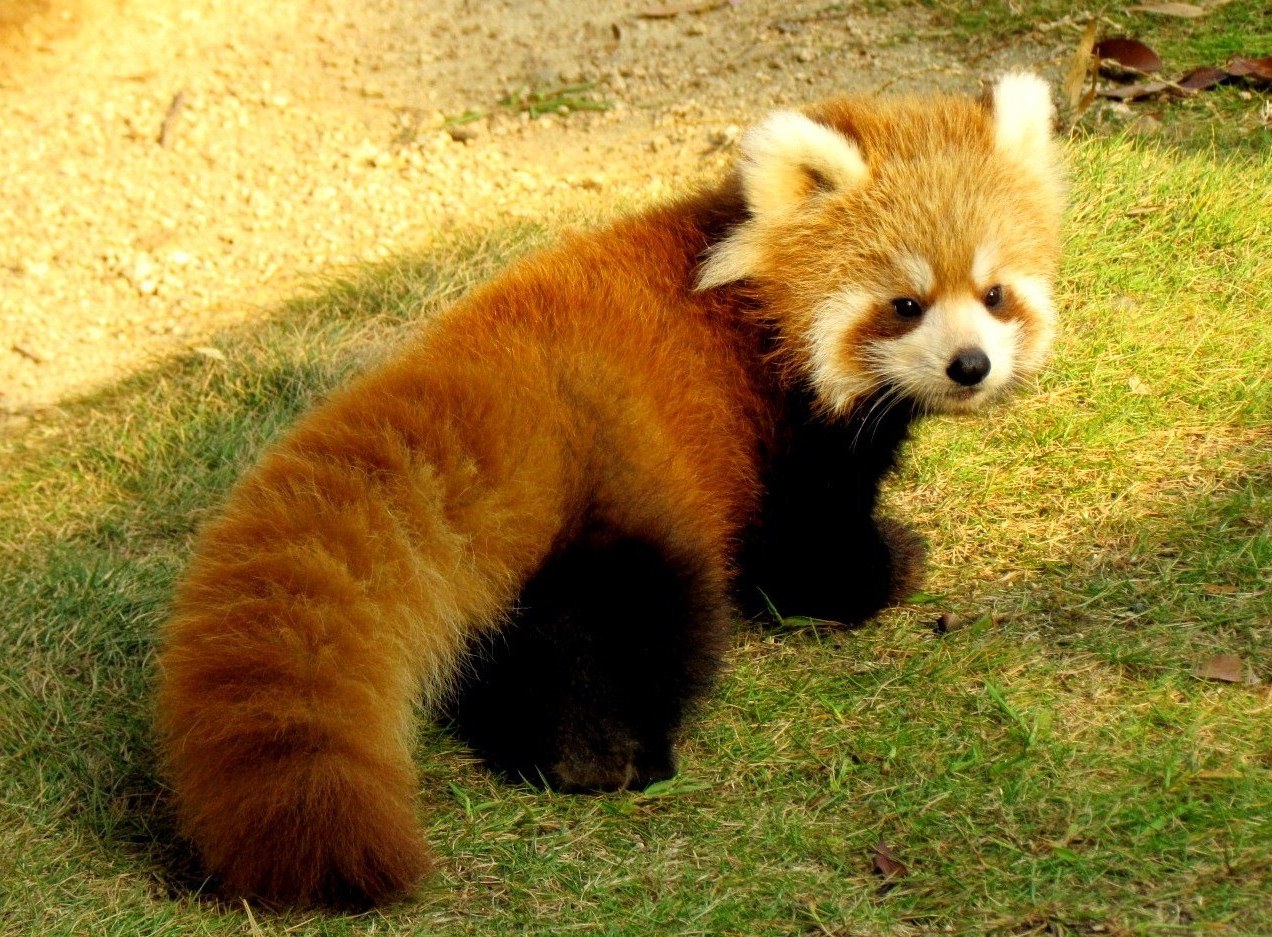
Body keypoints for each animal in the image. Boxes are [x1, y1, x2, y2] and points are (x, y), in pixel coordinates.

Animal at [153, 73, 1068, 905]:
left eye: (994, 293)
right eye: (906, 304)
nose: (971, 366)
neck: (755, 306)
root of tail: (489, 377)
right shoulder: (780, 439)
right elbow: (801, 554)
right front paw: (887, 566)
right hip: (634, 479)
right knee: (637, 617)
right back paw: (606, 755)